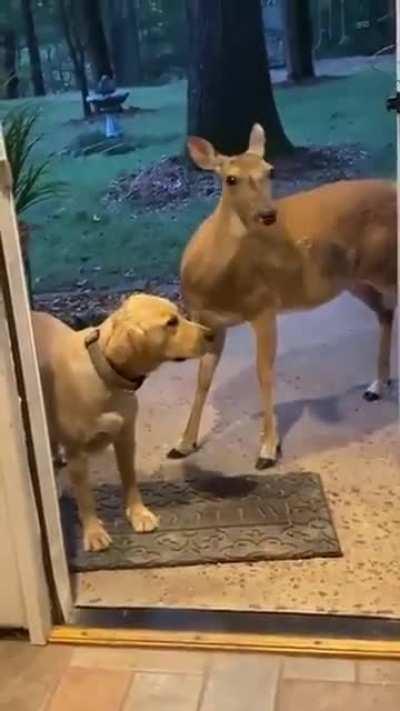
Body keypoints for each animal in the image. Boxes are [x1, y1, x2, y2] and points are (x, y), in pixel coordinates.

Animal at [167, 124, 397, 470]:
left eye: (270, 170)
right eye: (230, 178)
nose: (267, 214)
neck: (213, 282)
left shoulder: (264, 306)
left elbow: (264, 373)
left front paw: (267, 450)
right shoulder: (210, 321)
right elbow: (203, 378)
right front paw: (182, 444)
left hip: (386, 267)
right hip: (355, 280)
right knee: (385, 311)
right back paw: (377, 386)